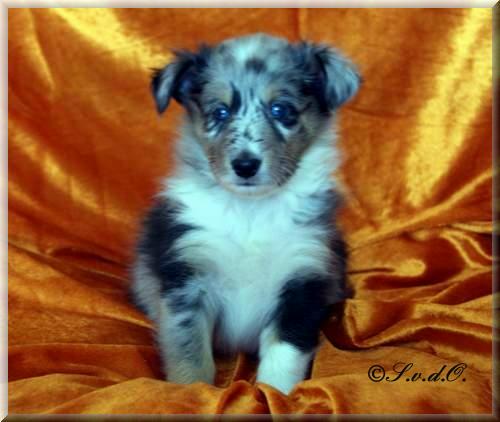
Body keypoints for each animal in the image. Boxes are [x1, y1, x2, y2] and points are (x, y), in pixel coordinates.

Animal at [131, 33, 360, 394]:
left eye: (281, 110)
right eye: (220, 112)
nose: (245, 165)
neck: (250, 213)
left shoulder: (303, 281)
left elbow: (284, 356)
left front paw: (275, 395)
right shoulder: (187, 281)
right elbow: (189, 354)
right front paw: (192, 393)